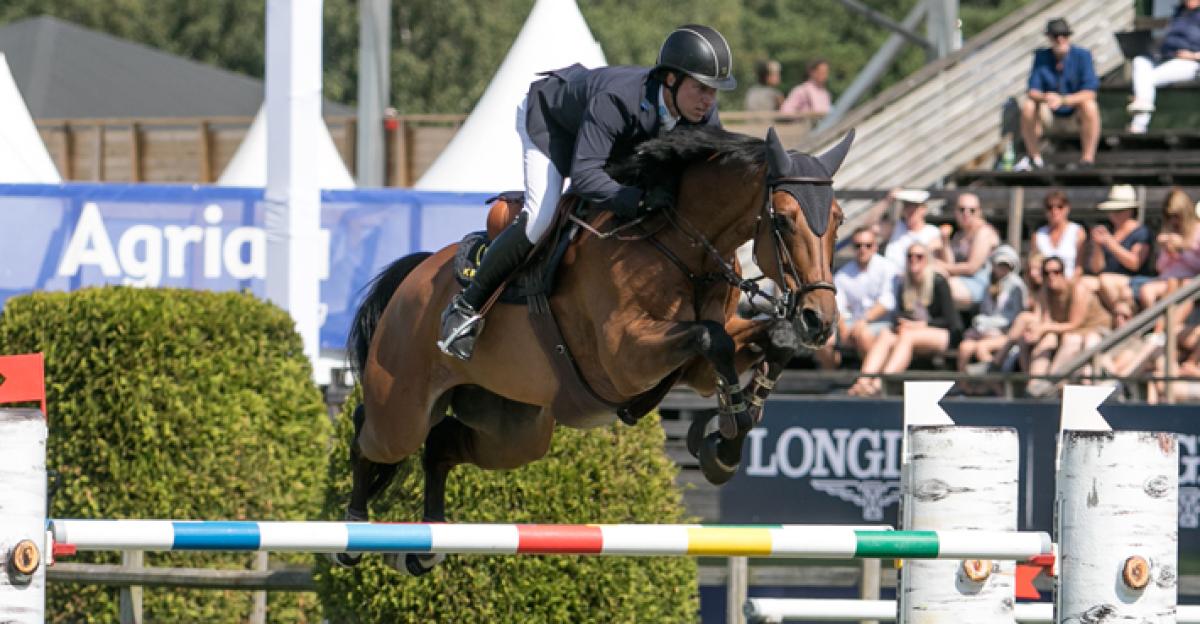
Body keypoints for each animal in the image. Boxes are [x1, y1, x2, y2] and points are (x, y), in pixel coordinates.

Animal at [340, 125, 853, 574]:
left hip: (514, 429)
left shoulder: (695, 369)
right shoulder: (626, 359)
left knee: (442, 446)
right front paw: (724, 437)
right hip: (402, 410)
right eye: (784, 220)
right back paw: (353, 535)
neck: (680, 244)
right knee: (369, 432)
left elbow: (761, 343)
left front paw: (725, 440)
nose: (820, 320)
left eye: (838, 220)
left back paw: (427, 547)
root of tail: (416, 273)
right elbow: (712, 336)